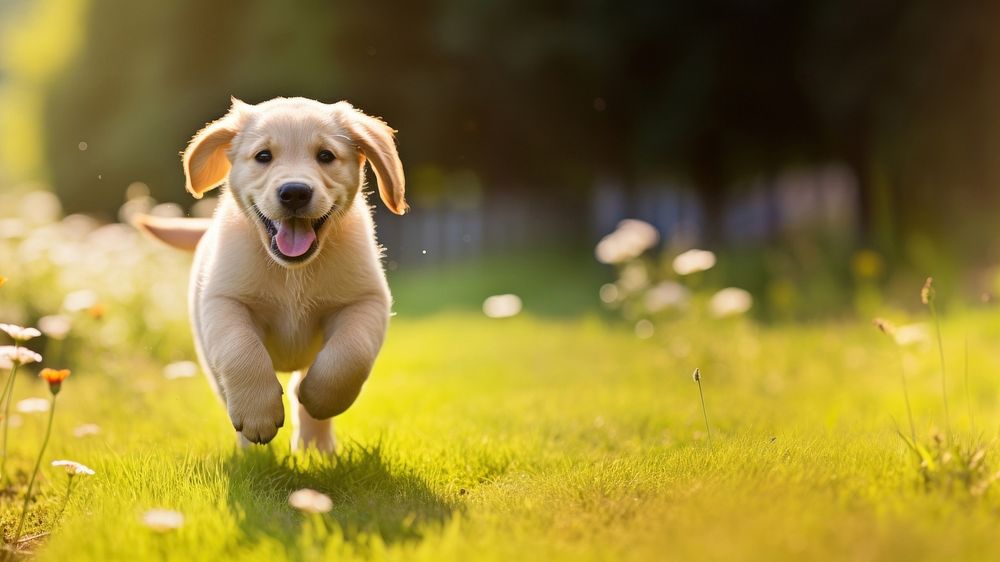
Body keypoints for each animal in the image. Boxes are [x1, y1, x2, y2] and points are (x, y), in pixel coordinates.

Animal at [137, 95, 406, 450]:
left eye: (326, 156)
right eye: (263, 156)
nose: (295, 192)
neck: (292, 271)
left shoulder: (365, 300)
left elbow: (350, 355)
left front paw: (320, 399)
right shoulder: (224, 301)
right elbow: (241, 350)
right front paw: (257, 415)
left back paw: (316, 448)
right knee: (227, 390)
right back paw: (252, 451)